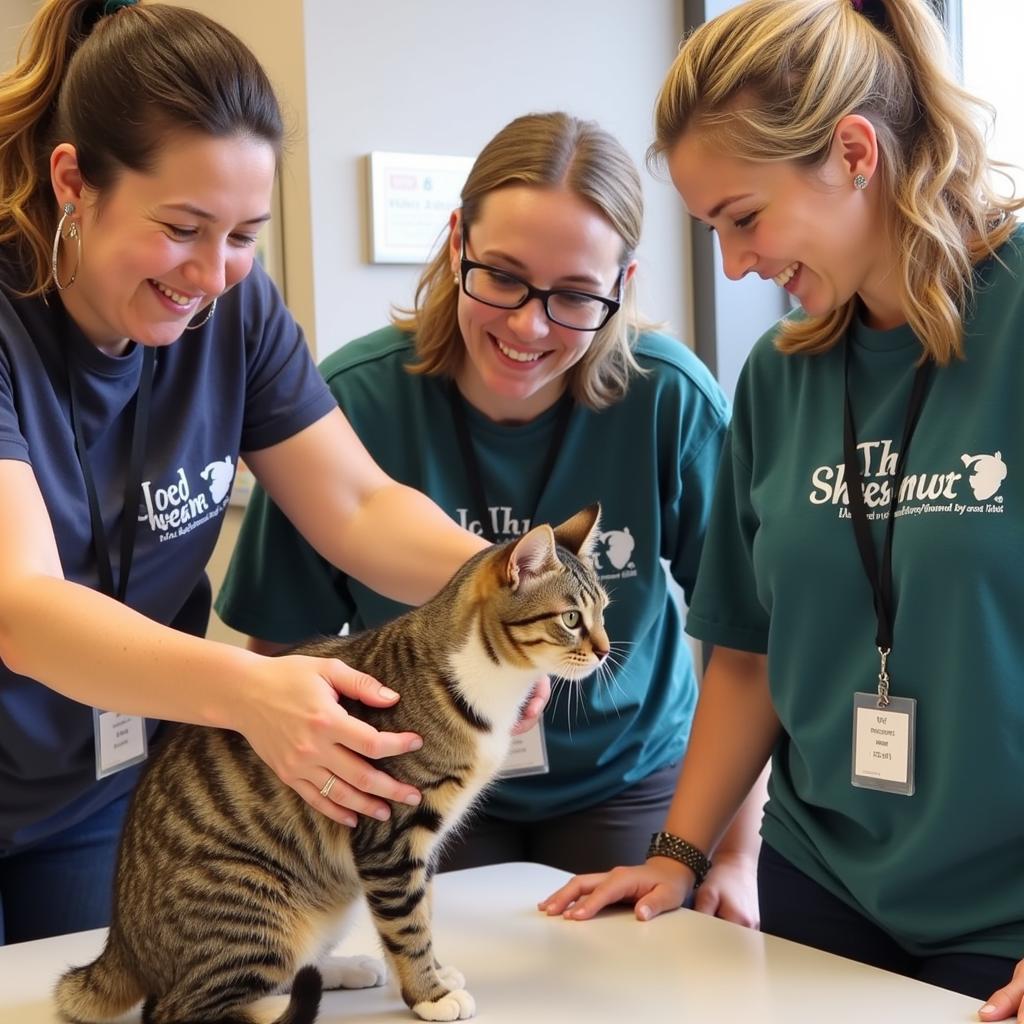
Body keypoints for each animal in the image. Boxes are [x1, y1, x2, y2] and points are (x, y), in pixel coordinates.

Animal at [56, 503, 606, 1024]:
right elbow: (407, 924)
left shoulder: (422, 843)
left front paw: (432, 972)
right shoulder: (391, 834)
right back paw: (281, 1006)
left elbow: (422, 909)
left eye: (603, 610)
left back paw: (337, 969)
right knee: (177, 1009)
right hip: (256, 904)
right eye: (571, 619)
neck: (485, 681)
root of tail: (121, 945)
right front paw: (429, 995)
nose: (605, 651)